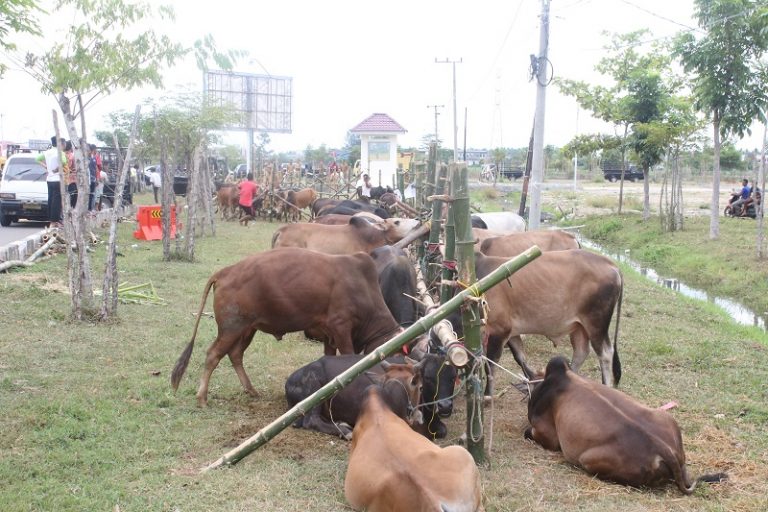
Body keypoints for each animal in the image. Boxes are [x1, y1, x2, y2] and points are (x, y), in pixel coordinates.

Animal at [480, 249, 624, 388]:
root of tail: (612, 265)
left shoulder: (499, 330)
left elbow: (490, 367)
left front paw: (487, 395)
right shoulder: (511, 331)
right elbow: (519, 356)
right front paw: (532, 380)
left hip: (596, 324)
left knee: (605, 354)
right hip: (580, 327)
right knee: (581, 351)